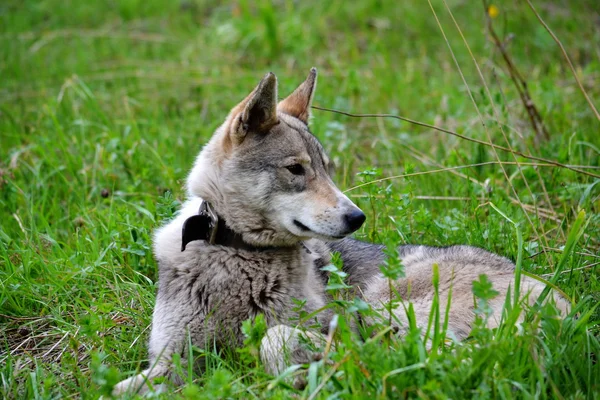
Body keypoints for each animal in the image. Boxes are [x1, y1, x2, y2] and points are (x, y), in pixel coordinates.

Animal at [115, 69, 568, 394]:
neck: (239, 256)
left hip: (386, 305)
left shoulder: (328, 326)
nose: (356, 218)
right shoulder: (171, 360)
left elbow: (275, 339)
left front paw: (305, 369)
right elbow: (120, 387)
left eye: (327, 169)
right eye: (296, 169)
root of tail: (564, 303)